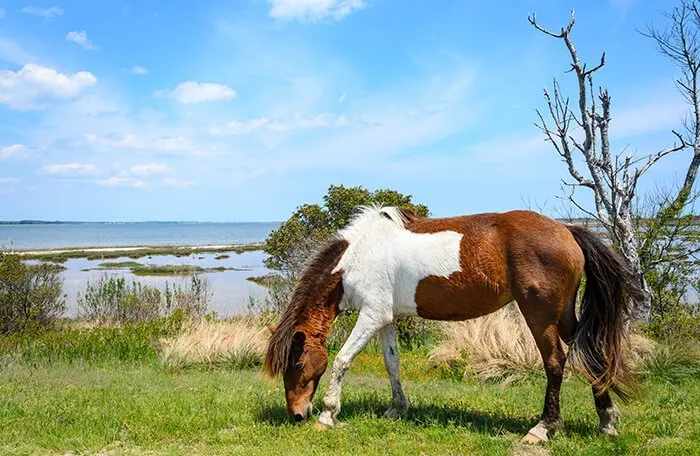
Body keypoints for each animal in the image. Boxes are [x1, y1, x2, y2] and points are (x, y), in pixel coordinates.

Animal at [264, 205, 644, 444]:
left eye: (296, 364)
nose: (296, 415)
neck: (356, 257)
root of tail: (567, 229)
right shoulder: (385, 317)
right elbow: (391, 363)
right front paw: (396, 408)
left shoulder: (370, 315)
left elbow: (343, 360)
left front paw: (328, 415)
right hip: (563, 314)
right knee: (590, 354)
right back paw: (607, 421)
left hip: (539, 316)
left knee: (555, 363)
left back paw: (542, 429)